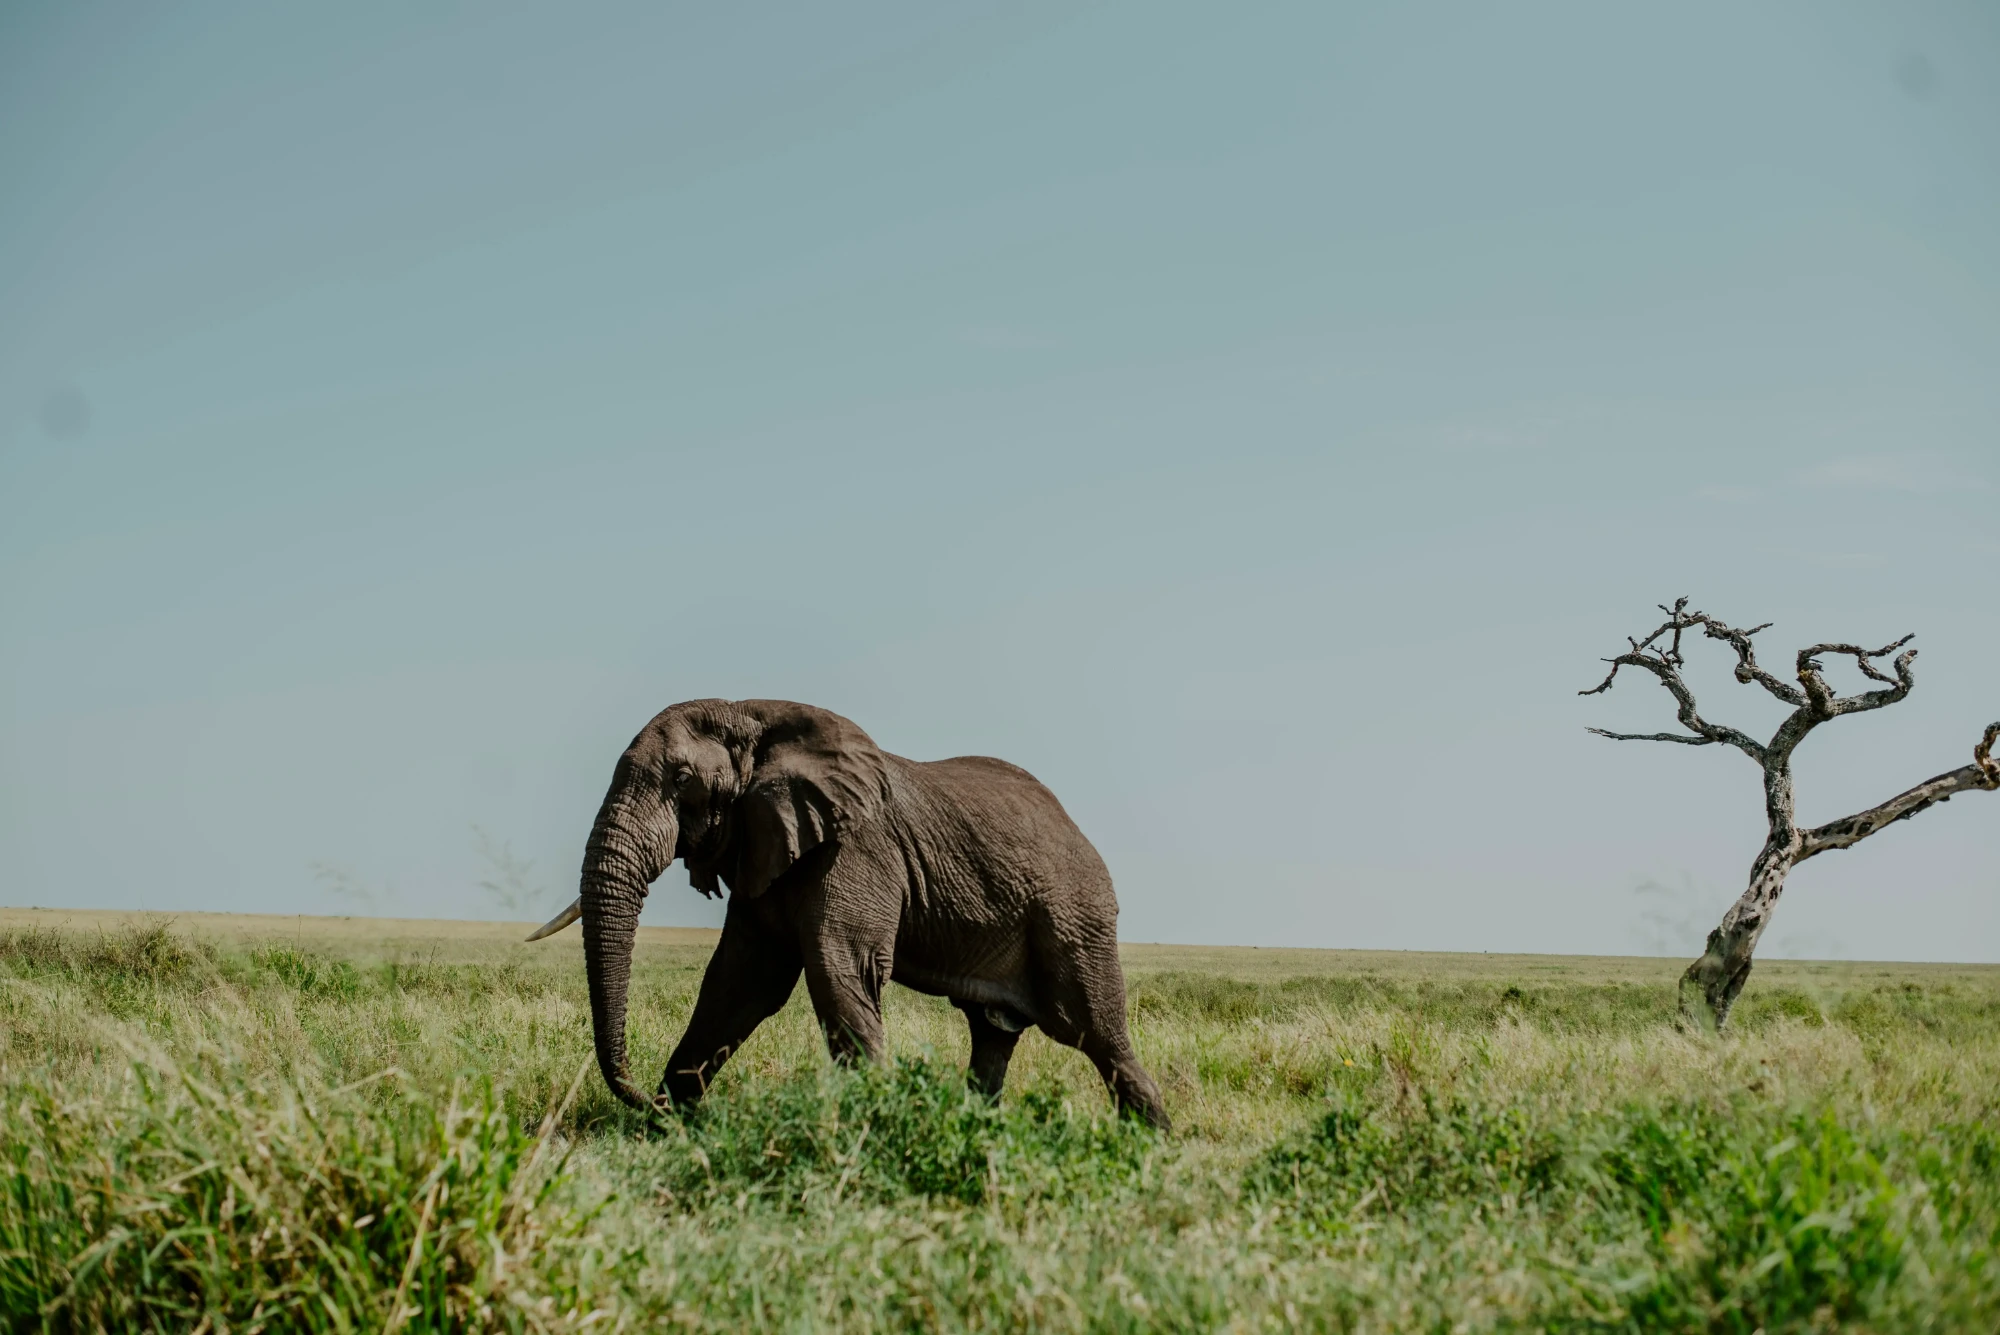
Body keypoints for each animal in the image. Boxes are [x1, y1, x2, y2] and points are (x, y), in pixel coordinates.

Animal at [527, 698, 1169, 1128]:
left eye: (682, 779)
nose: (643, 1103)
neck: (752, 712)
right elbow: (739, 985)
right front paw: (671, 1129)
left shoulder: (858, 848)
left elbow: (839, 970)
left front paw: (874, 1127)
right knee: (993, 1037)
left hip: (1073, 915)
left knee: (1096, 1032)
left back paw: (1150, 1147)